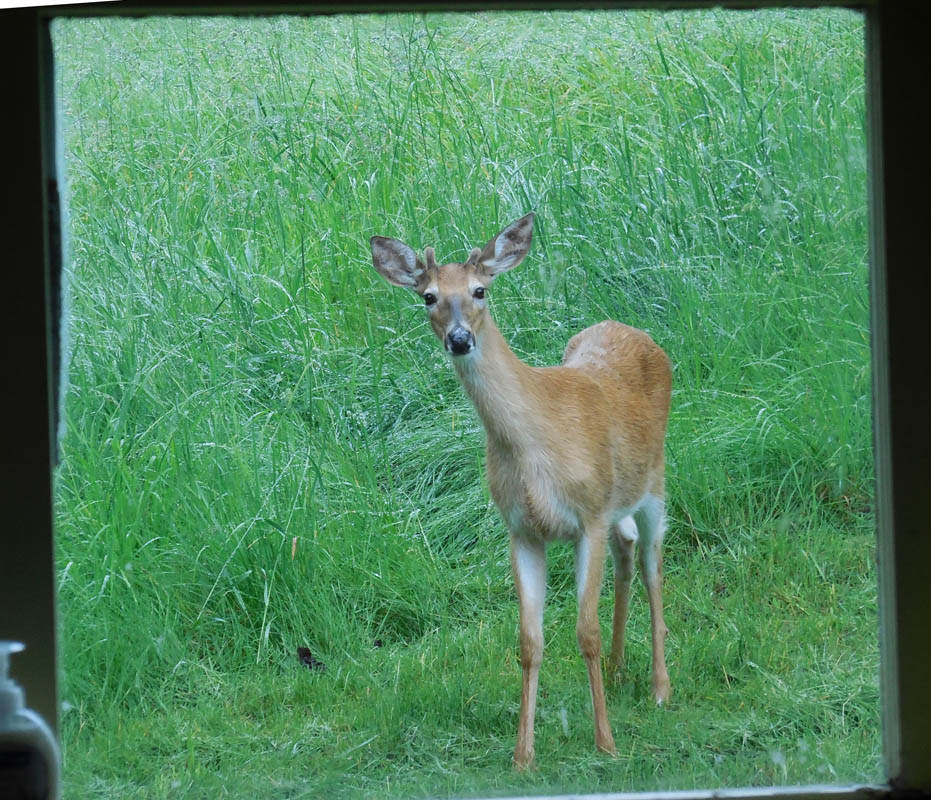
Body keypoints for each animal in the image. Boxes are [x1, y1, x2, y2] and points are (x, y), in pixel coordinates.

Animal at [370, 213, 672, 770]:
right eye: (427, 296)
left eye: (480, 289)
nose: (460, 339)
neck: (534, 446)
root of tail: (633, 331)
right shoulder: (520, 528)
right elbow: (529, 641)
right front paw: (522, 755)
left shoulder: (587, 516)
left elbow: (586, 631)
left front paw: (606, 743)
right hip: (618, 499)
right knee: (627, 547)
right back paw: (619, 670)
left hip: (655, 479)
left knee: (652, 566)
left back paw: (660, 687)